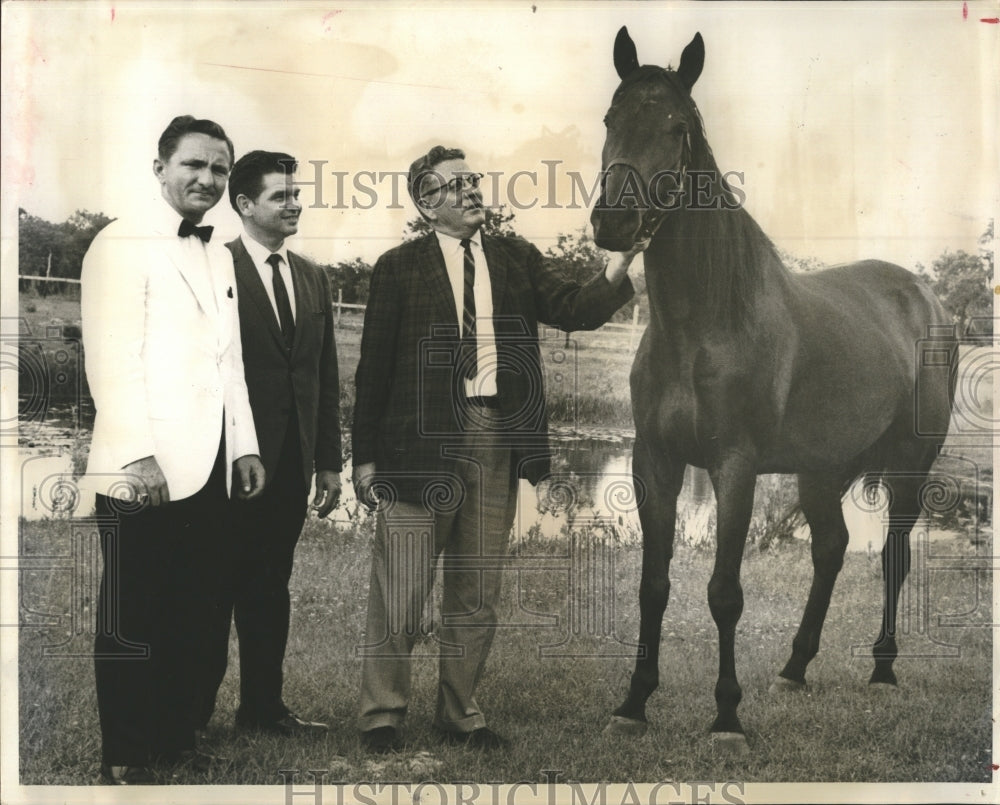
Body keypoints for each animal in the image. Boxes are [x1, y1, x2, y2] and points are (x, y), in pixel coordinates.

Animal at [590, 27, 957, 755]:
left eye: (677, 128)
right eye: (611, 119)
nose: (613, 221)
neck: (702, 324)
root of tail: (924, 297)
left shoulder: (735, 466)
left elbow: (724, 592)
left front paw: (727, 718)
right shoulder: (655, 461)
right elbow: (654, 584)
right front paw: (633, 703)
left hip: (910, 466)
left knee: (892, 558)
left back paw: (882, 669)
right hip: (821, 471)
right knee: (831, 549)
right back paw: (794, 667)